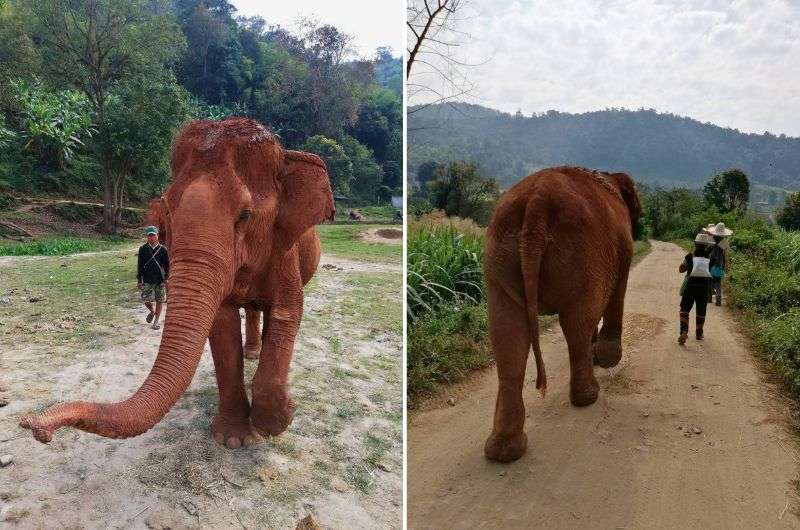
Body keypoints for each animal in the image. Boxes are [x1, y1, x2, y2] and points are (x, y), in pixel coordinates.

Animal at [21, 116, 334, 446]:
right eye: (169, 210)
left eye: (245, 215)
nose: (34, 426)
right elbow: (221, 325)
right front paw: (233, 439)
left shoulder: (286, 252)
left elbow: (288, 312)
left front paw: (279, 417)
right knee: (251, 309)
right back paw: (251, 353)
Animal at [482, 165, 644, 462]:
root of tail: (538, 199)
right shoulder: (621, 249)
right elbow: (616, 291)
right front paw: (606, 359)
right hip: (581, 252)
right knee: (576, 320)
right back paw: (587, 396)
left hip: (499, 253)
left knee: (507, 330)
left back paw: (503, 450)